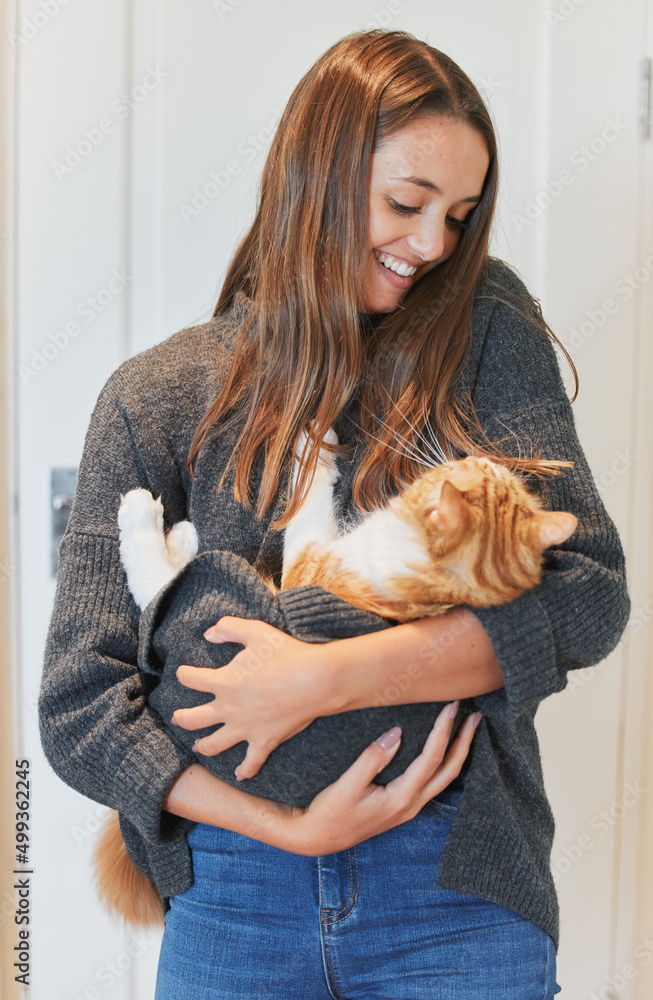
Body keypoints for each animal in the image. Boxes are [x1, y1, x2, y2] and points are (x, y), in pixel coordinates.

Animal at [93, 424, 576, 928]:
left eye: (464, 470)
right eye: (482, 470)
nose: (478, 455)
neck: (430, 585)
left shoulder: (300, 571)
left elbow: (303, 514)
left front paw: (313, 445)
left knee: (159, 586)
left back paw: (155, 524)